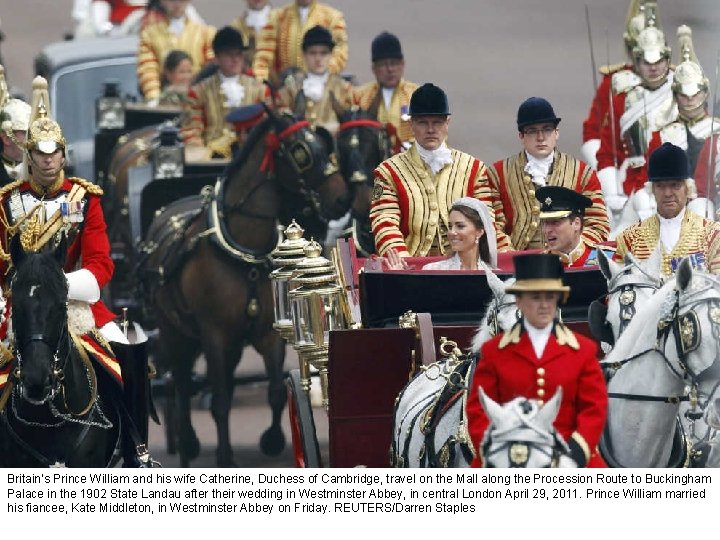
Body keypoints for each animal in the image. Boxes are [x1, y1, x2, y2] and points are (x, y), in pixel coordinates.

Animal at [140, 107, 348, 466]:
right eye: (301, 152)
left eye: (324, 144)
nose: (342, 199)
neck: (243, 251)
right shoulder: (214, 334)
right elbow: (221, 399)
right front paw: (225, 456)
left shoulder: (268, 331)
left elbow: (275, 391)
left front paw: (274, 440)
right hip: (175, 333)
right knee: (180, 383)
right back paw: (186, 442)